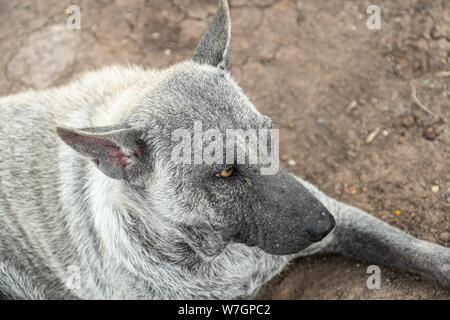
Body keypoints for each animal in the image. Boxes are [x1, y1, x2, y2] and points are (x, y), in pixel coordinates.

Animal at [0, 0, 448, 300]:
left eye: (269, 136)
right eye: (225, 172)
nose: (325, 224)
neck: (219, 253)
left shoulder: (346, 215)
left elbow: (410, 247)